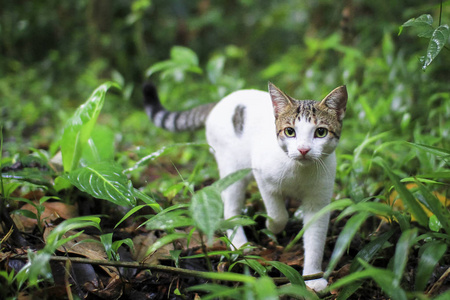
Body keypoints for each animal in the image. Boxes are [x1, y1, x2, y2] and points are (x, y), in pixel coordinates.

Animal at [144, 81, 348, 290]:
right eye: (290, 132)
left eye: (320, 132)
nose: (303, 150)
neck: (299, 170)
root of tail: (219, 102)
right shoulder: (262, 177)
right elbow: (278, 214)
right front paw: (271, 226)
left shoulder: (319, 199)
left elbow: (315, 238)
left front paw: (313, 277)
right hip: (233, 168)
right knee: (230, 208)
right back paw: (241, 244)